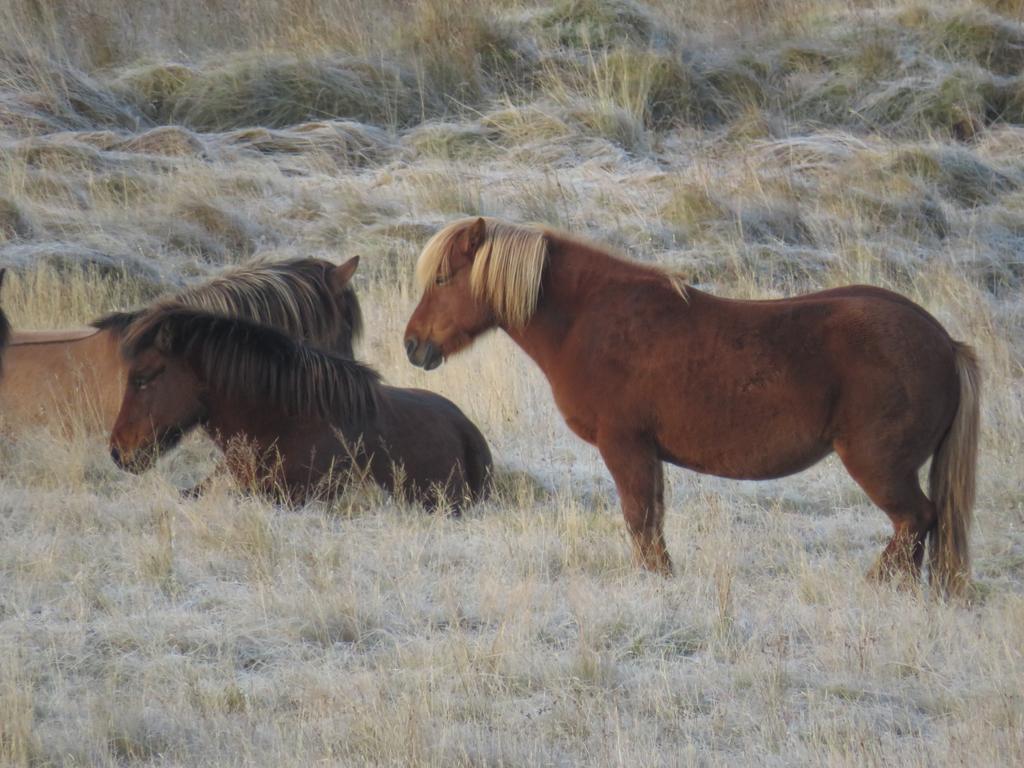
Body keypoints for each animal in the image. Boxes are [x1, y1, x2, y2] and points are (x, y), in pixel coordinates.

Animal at [403, 217, 978, 593]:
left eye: (442, 279)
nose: (412, 345)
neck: (589, 320)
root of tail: (943, 340)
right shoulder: (648, 454)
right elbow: (653, 520)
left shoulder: (625, 447)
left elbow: (639, 520)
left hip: (879, 465)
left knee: (915, 520)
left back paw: (880, 586)